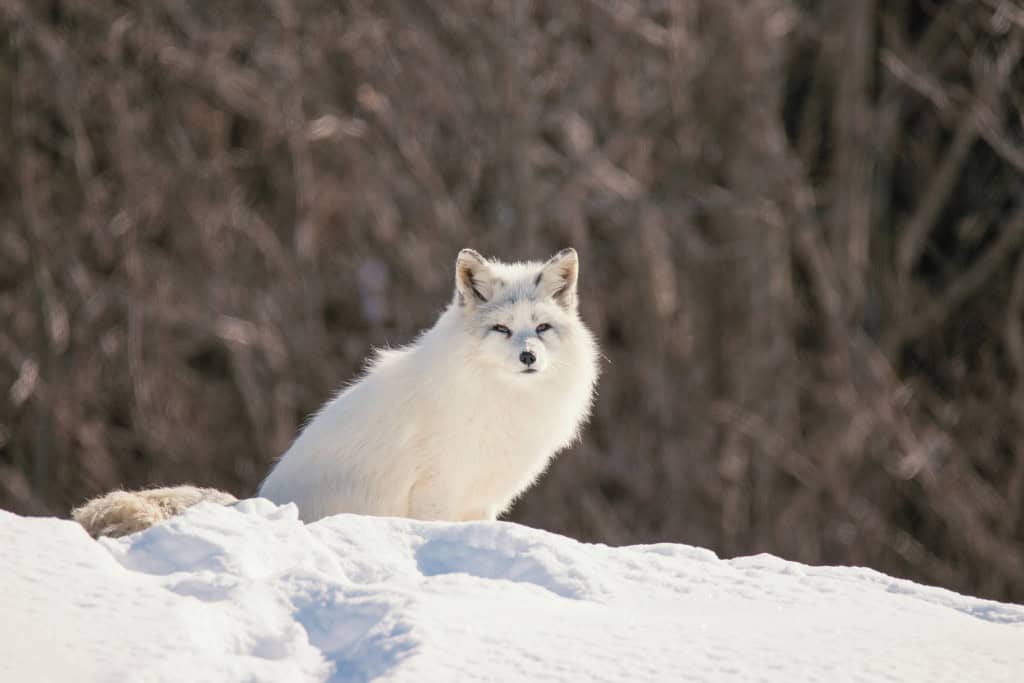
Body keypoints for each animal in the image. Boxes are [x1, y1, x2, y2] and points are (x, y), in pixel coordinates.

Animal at [74, 247, 600, 536]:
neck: (500, 402)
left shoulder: (481, 500)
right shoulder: (436, 492)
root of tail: (256, 502)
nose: (528, 357)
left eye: (542, 328)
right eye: (501, 329)